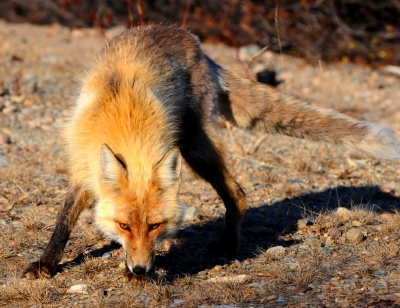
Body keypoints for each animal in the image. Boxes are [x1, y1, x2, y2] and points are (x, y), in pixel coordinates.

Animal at [22, 25, 400, 280]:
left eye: (155, 226)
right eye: (124, 226)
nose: (142, 269)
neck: (124, 121)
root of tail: (195, 43)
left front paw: (131, 271)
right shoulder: (83, 169)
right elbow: (64, 221)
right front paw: (46, 263)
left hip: (194, 146)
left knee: (238, 193)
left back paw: (229, 246)